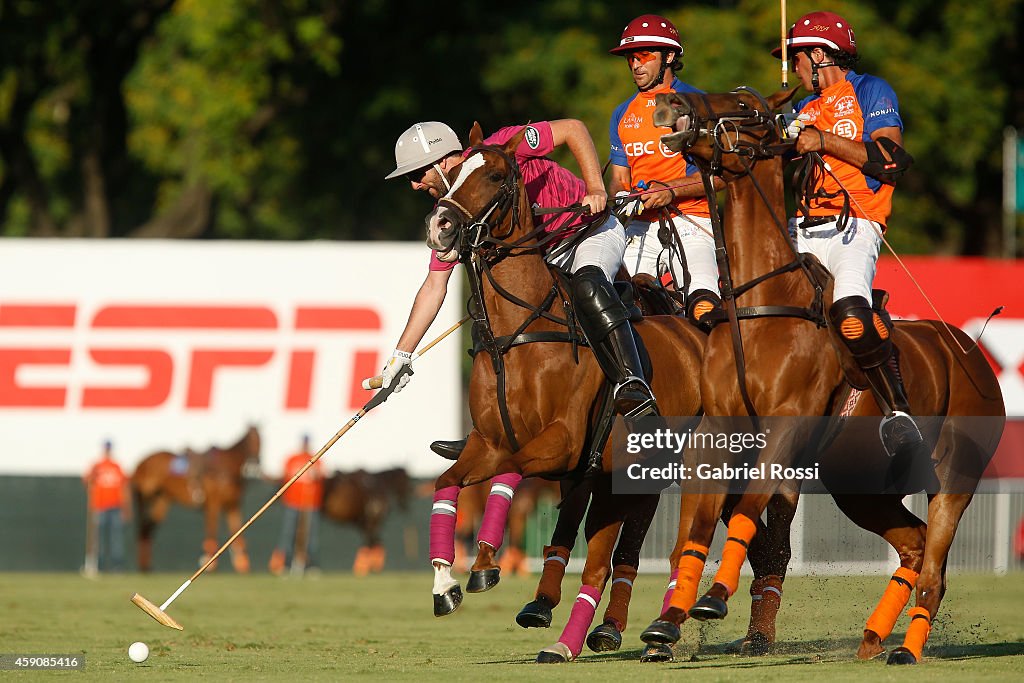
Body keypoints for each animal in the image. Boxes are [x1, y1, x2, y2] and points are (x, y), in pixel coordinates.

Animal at [132, 423, 262, 573]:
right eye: (251, 440)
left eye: (262, 440)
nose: (255, 462)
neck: (227, 467)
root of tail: (140, 464)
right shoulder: (213, 504)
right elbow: (212, 531)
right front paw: (209, 563)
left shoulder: (233, 505)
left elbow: (237, 531)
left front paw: (242, 565)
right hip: (145, 497)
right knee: (143, 528)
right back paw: (144, 566)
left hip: (161, 500)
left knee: (148, 528)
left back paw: (146, 566)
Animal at [419, 122, 708, 663]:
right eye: (455, 173)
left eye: (495, 175)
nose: (440, 226)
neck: (517, 331)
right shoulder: (489, 443)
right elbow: (447, 482)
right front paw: (445, 584)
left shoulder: (564, 441)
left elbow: (511, 470)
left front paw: (484, 564)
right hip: (621, 471)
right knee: (601, 550)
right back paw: (579, 630)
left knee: (676, 542)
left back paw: (660, 632)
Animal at [643, 88, 1003, 663]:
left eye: (749, 109)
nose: (670, 102)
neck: (758, 303)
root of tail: (974, 353)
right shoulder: (717, 429)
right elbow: (694, 527)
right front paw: (666, 623)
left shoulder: (788, 425)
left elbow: (751, 506)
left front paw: (714, 598)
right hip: (861, 485)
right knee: (915, 545)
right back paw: (872, 639)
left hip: (957, 475)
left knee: (934, 568)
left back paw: (907, 650)